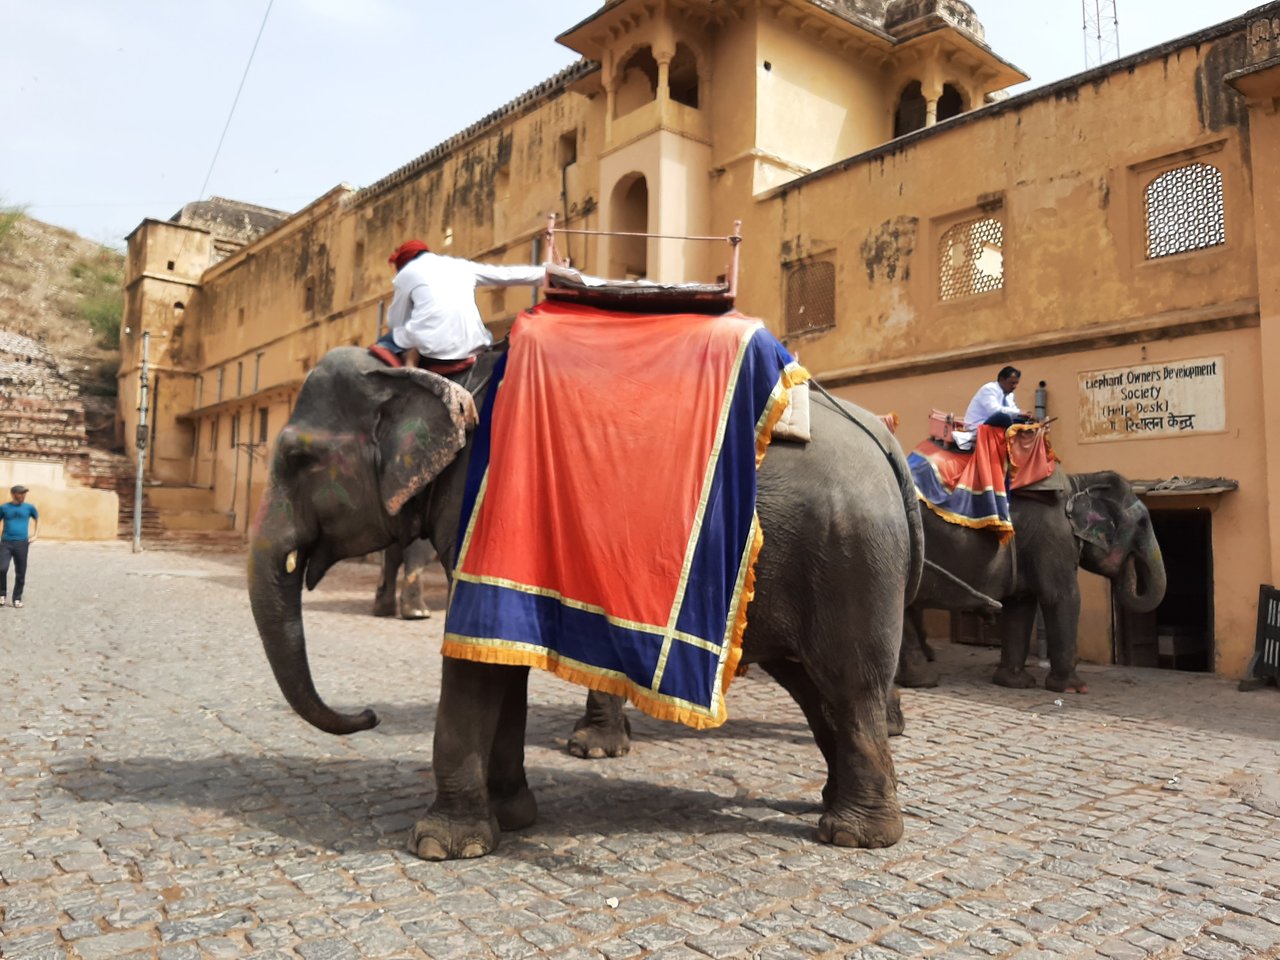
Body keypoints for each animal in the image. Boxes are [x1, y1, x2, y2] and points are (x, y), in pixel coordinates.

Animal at [248, 346, 923, 860]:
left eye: (298, 459)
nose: (366, 716)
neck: (435, 375)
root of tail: (884, 439)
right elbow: (500, 659)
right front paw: (513, 816)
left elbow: (474, 662)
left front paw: (443, 846)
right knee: (815, 690)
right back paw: (836, 810)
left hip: (849, 557)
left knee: (848, 686)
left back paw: (855, 836)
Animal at [896, 471, 1166, 692]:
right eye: (1143, 523)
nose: (1130, 562)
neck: (1080, 481)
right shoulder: (1053, 536)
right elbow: (1062, 597)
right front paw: (1073, 689)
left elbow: (1021, 605)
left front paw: (1015, 684)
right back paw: (924, 680)